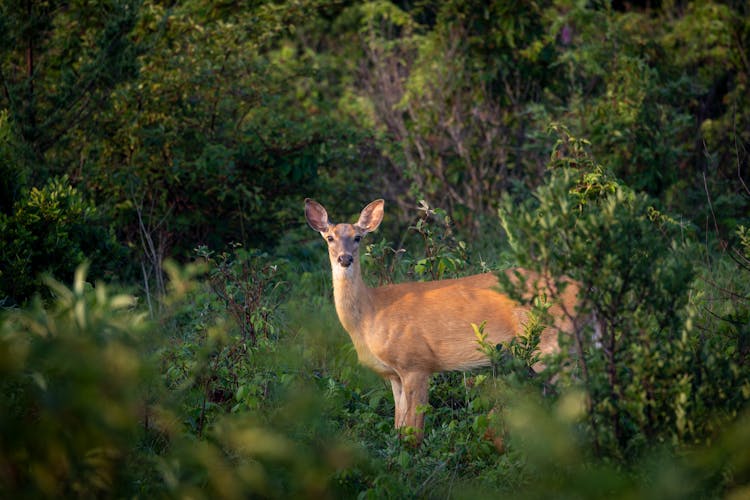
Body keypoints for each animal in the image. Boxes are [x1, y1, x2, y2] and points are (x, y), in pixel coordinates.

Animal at [306, 199, 580, 442]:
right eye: (329, 237)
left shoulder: (416, 363)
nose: (345, 259)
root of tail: (579, 288)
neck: (370, 314)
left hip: (551, 344)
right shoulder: (394, 374)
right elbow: (398, 426)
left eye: (358, 237)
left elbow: (414, 432)